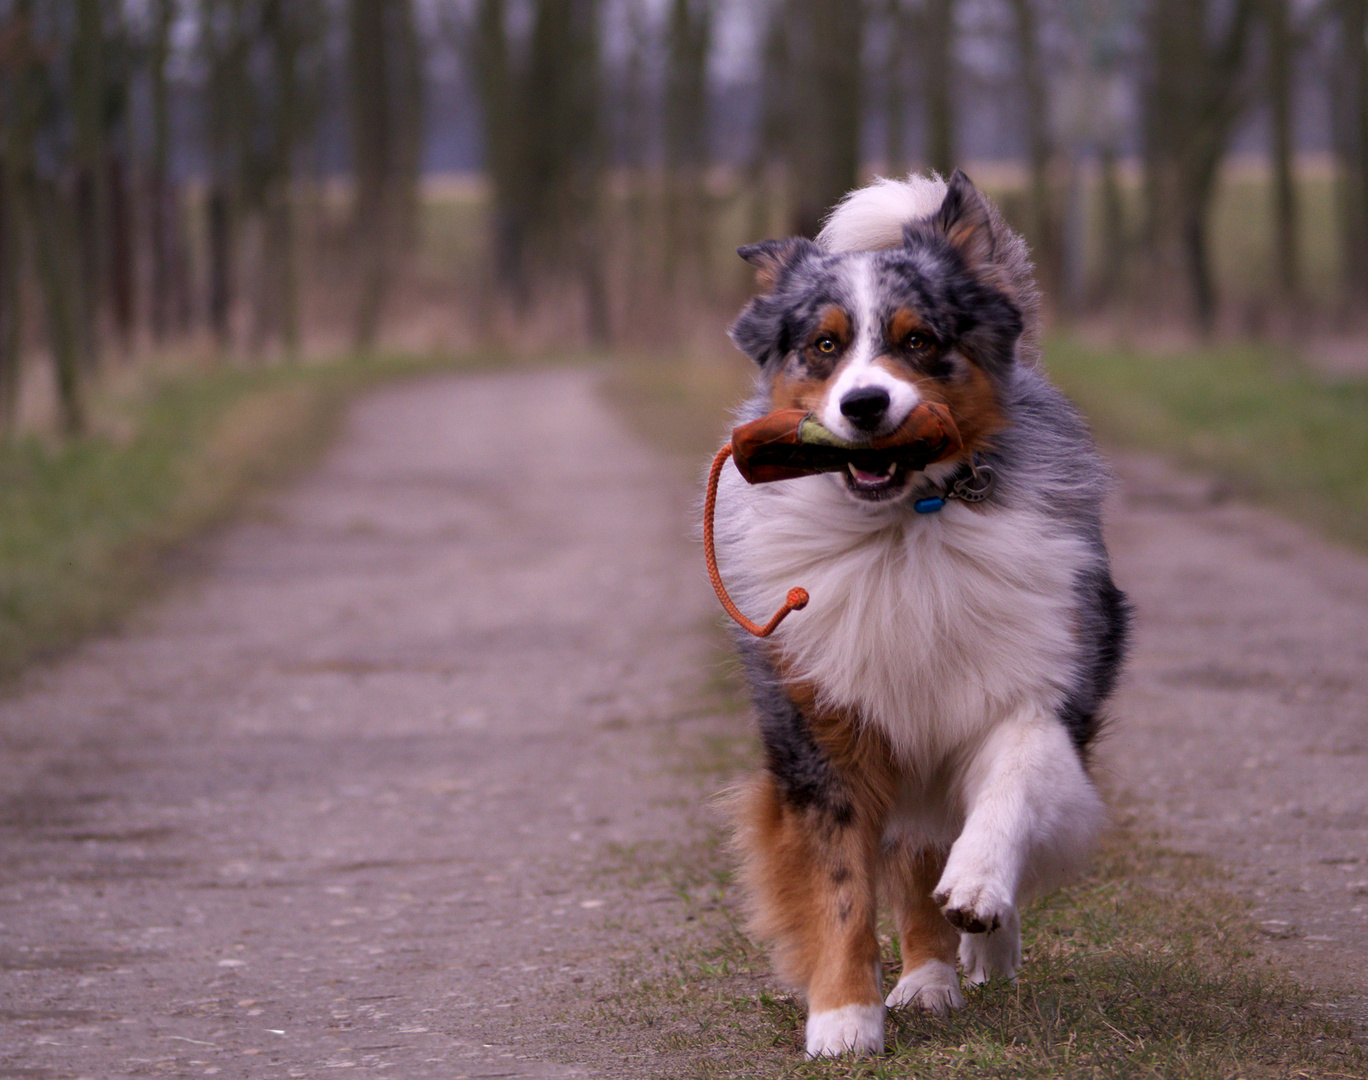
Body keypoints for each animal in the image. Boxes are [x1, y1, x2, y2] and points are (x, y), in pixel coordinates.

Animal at [711, 172, 1127, 1056]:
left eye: (919, 339)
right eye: (824, 347)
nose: (866, 405)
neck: (905, 525)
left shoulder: (1034, 677)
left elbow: (1014, 778)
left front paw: (979, 888)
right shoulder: (824, 724)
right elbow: (841, 884)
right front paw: (843, 1019)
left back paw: (966, 956)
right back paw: (927, 979)